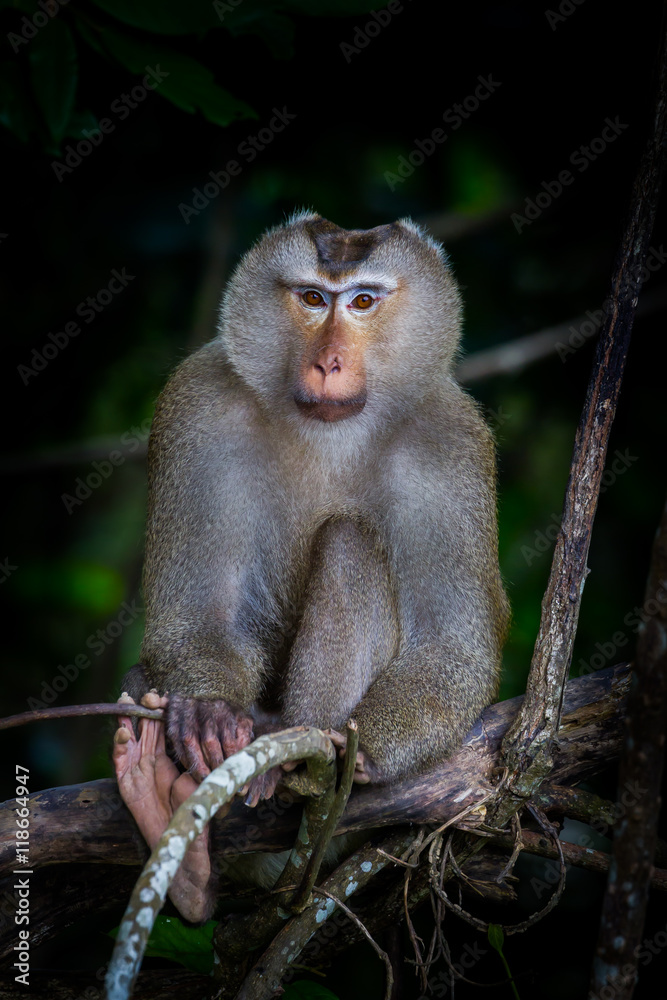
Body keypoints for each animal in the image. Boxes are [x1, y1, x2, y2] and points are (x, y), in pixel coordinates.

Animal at [115, 211, 509, 918]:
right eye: (311, 298)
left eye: (362, 301)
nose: (328, 360)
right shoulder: (198, 407)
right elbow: (193, 616)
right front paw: (211, 710)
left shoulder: (451, 444)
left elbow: (454, 647)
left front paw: (366, 751)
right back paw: (176, 837)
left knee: (350, 545)